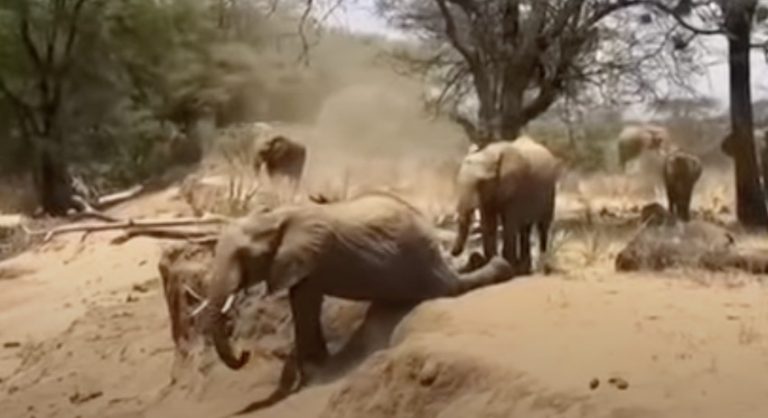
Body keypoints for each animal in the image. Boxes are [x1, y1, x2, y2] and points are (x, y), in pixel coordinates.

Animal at [201, 191, 513, 412]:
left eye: (243, 256)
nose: (244, 353)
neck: (278, 218)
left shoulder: (309, 258)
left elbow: (305, 307)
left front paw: (313, 374)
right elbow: (302, 305)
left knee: (449, 287)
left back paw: (499, 266)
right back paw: (480, 260)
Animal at [450, 136, 560, 275]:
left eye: (481, 183)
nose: (452, 253)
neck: (489, 153)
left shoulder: (515, 185)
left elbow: (509, 222)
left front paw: (508, 266)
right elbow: (489, 222)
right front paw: (492, 261)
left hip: (550, 192)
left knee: (543, 226)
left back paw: (542, 267)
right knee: (525, 228)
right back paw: (525, 268)